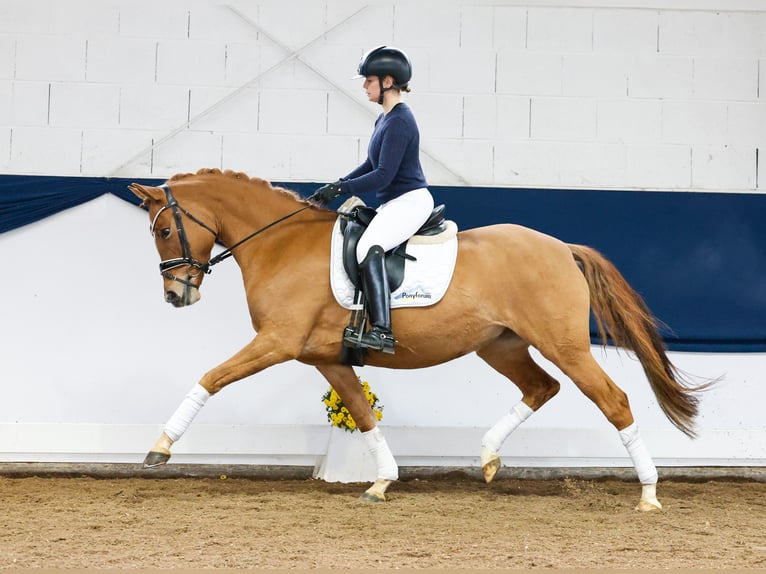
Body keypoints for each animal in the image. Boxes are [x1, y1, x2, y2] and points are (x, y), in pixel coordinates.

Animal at [129, 168, 712, 512]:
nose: (176, 295)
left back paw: (649, 493)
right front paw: (382, 481)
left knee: (614, 400)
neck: (280, 243)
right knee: (541, 389)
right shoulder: (326, 358)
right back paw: (488, 457)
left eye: (164, 230)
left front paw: (160, 448)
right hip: (500, 344)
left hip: (562, 344)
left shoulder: (278, 342)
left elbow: (210, 377)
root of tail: (561, 247)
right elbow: (362, 413)